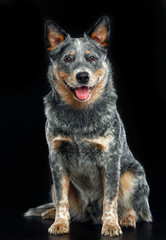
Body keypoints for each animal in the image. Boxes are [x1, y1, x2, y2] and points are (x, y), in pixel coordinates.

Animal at [24, 16, 152, 236]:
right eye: (68, 59)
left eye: (92, 58)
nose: (82, 76)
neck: (79, 114)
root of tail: (90, 214)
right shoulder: (57, 158)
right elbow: (62, 199)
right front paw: (60, 223)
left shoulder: (110, 159)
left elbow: (110, 199)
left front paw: (111, 224)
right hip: (55, 186)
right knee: (64, 203)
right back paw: (52, 212)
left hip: (133, 176)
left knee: (134, 208)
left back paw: (126, 219)